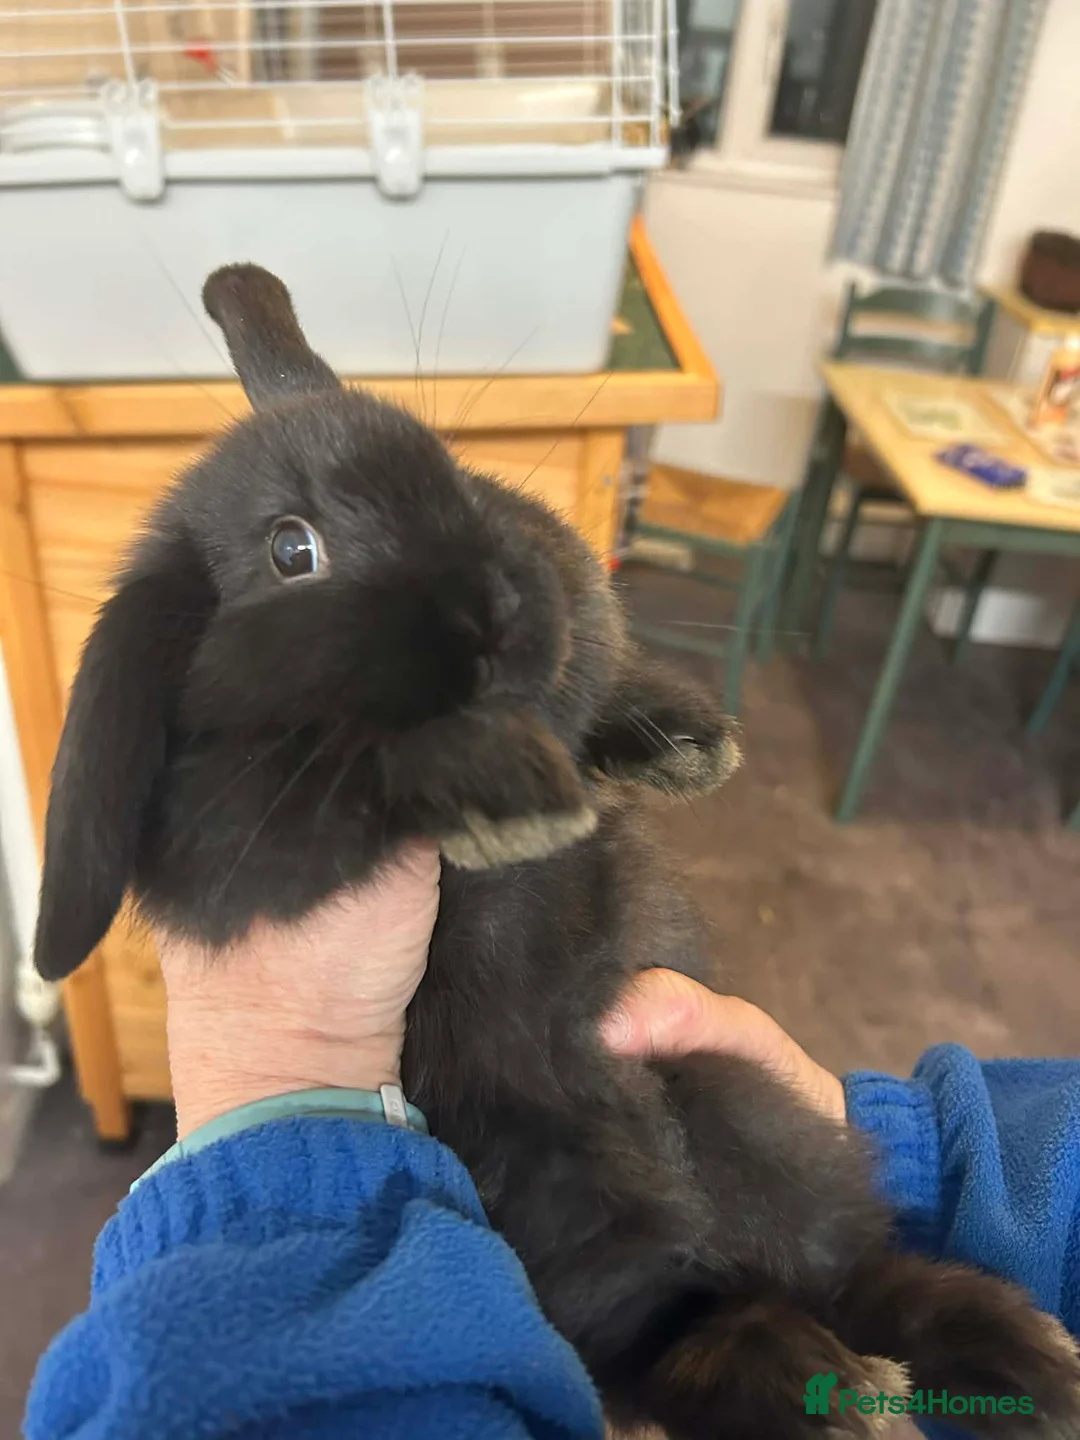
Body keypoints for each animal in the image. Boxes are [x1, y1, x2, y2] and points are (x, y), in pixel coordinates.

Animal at [35, 264, 1080, 1440]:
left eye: (451, 468)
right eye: (292, 551)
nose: (505, 594)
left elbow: (594, 686)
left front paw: (690, 745)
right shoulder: (245, 836)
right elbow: (364, 771)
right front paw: (514, 789)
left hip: (747, 1113)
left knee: (849, 1268)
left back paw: (1013, 1363)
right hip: (576, 1215)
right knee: (679, 1330)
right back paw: (836, 1389)